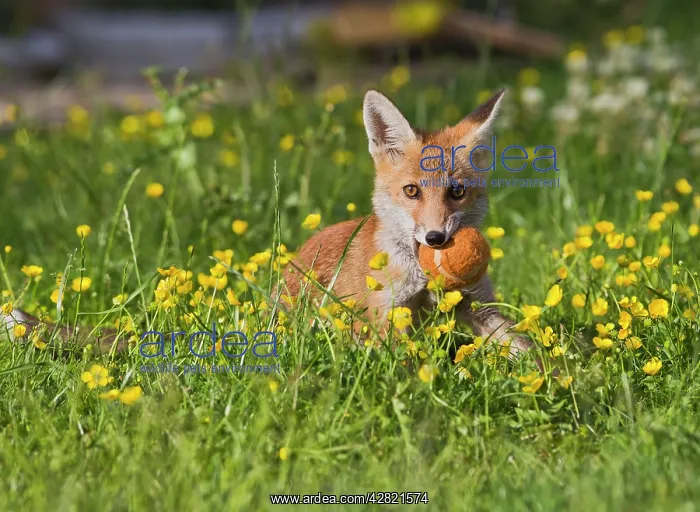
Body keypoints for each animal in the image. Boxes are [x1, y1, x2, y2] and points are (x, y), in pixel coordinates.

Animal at [282, 89, 532, 356]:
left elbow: (529, 350)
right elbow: (402, 362)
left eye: (457, 192)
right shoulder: (389, 313)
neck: (423, 279)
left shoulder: (478, 304)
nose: (435, 238)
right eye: (411, 191)